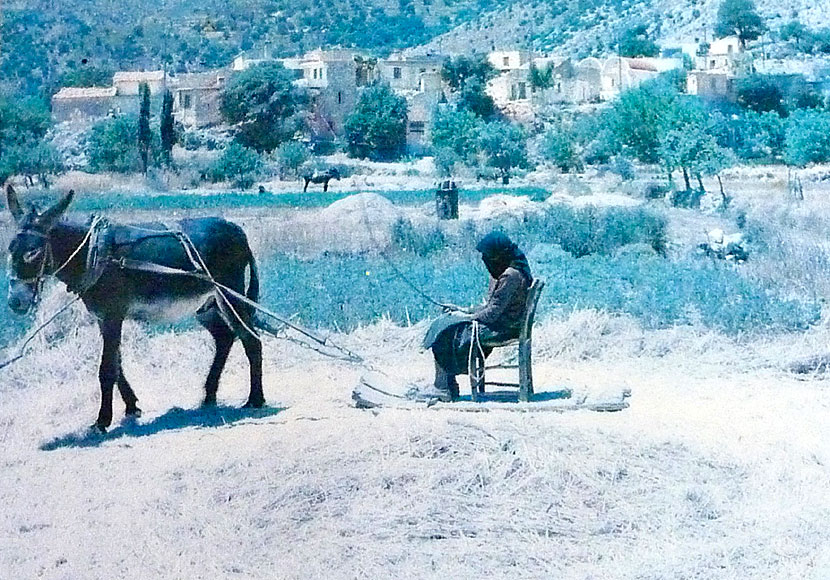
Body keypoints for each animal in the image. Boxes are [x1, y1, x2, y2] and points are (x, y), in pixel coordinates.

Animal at [4, 185, 264, 430]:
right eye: (9, 250)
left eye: (33, 252)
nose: (14, 302)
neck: (92, 253)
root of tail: (237, 230)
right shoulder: (103, 317)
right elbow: (116, 363)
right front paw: (131, 406)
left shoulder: (112, 314)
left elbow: (107, 369)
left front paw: (102, 421)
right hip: (207, 305)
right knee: (224, 338)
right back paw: (209, 396)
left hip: (230, 295)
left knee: (251, 340)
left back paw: (255, 399)